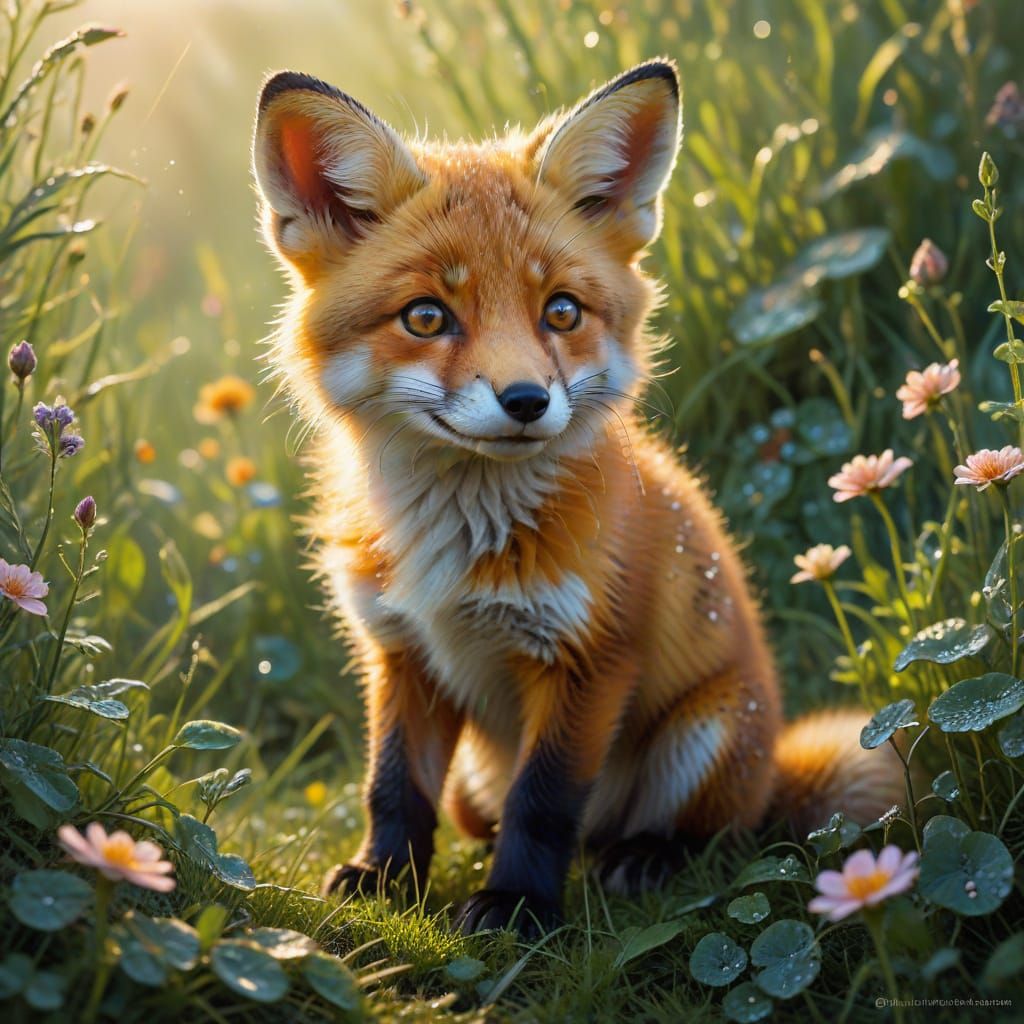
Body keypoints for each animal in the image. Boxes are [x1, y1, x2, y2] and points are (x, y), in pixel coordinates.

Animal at [251, 59, 903, 933]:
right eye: (426, 316)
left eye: (561, 311)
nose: (527, 400)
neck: (455, 545)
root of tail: (772, 769)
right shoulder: (401, 651)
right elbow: (393, 786)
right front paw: (386, 877)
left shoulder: (590, 658)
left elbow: (545, 799)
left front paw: (518, 904)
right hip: (474, 785)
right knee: (494, 818)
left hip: (707, 735)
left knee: (712, 836)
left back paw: (645, 858)